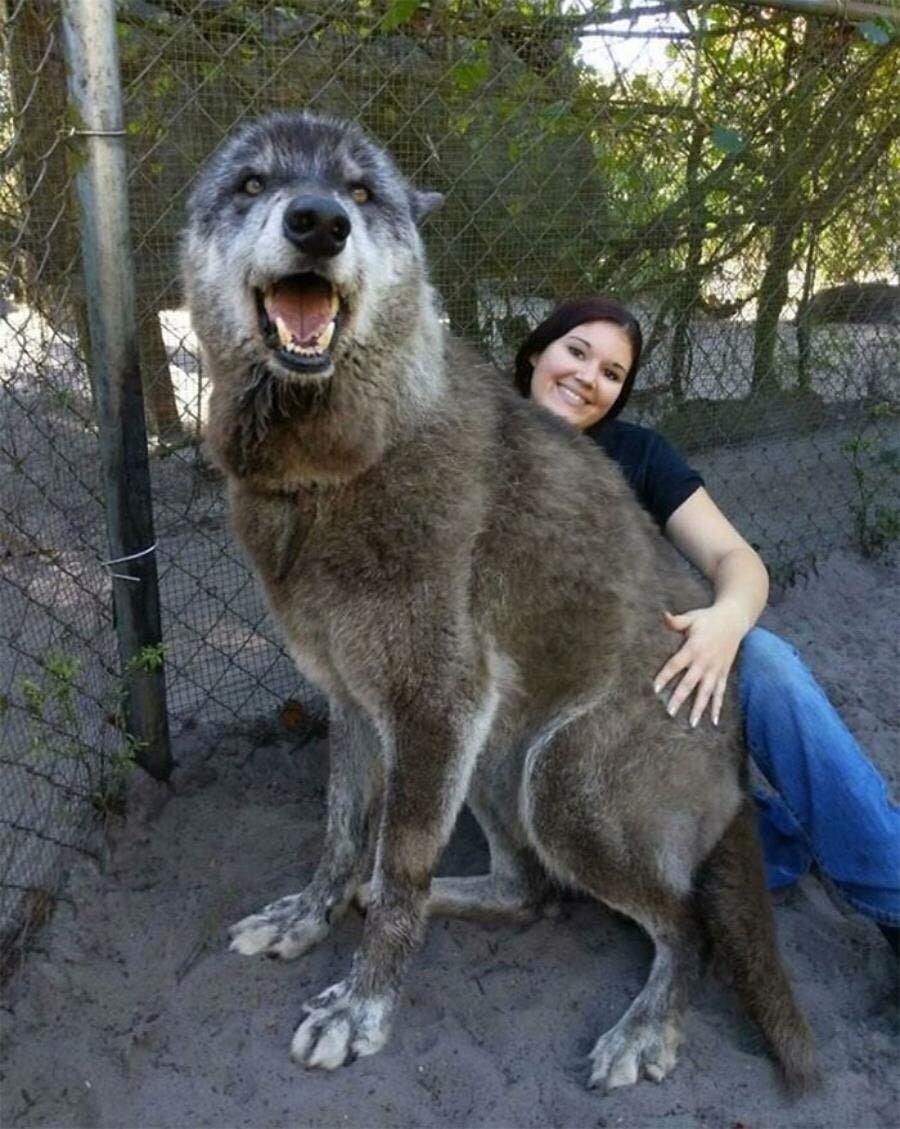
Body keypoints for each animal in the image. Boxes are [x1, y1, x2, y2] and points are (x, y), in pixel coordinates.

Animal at [182, 112, 813, 1092]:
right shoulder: (358, 704)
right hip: (491, 755)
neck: (336, 466)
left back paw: (644, 1026)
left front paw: (363, 1008)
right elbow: (341, 833)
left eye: (362, 192)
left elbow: (399, 859)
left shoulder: (435, 705)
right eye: (251, 183)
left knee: (686, 924)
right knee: (527, 890)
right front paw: (309, 916)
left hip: (557, 780)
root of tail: (738, 765)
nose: (319, 222)